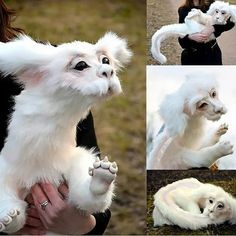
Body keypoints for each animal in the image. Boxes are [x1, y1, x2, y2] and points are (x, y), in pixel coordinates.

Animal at [0, 32, 133, 233]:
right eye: (81, 65)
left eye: (106, 60)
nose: (108, 71)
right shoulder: (5, 173)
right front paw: (8, 219)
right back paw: (9, 218)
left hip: (78, 165)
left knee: (89, 198)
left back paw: (103, 174)